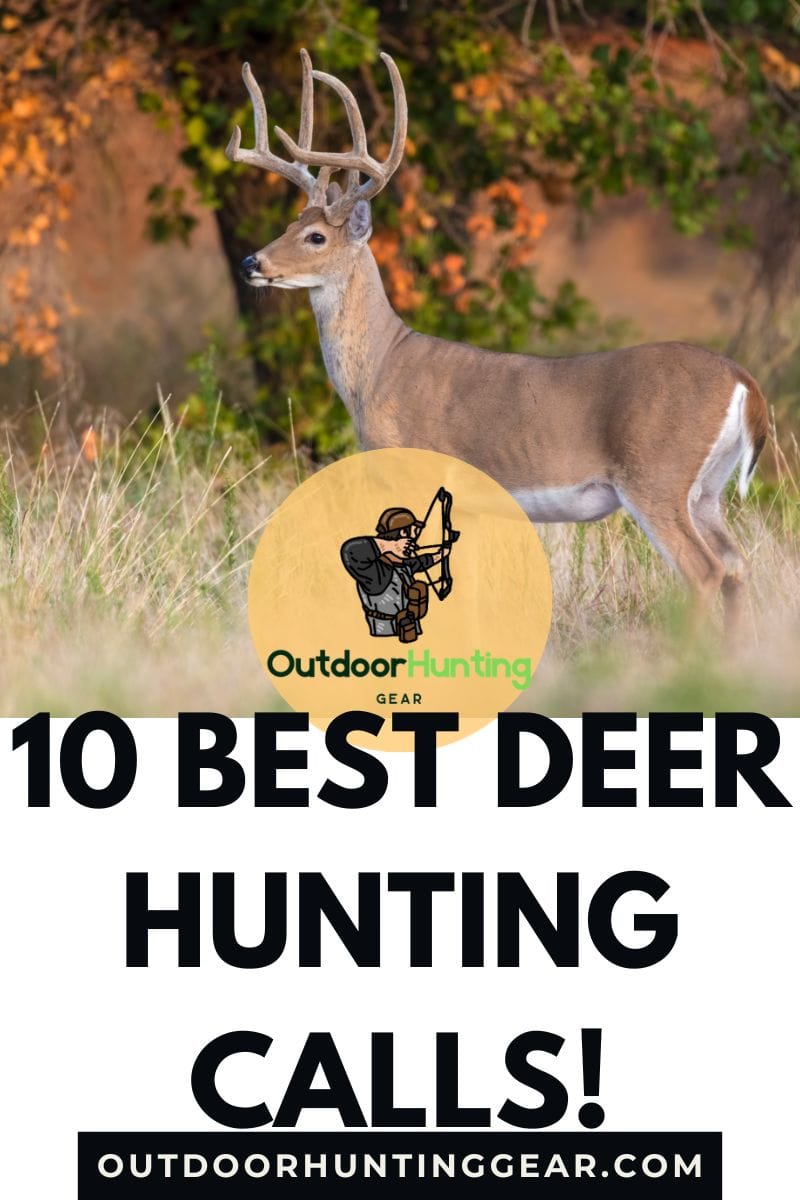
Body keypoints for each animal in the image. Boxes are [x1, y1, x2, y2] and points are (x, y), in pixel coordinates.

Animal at [226, 49, 768, 639]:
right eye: (289, 225)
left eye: (316, 237)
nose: (251, 262)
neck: (381, 369)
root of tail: (745, 385)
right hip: (708, 488)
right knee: (738, 563)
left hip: (657, 474)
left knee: (705, 569)